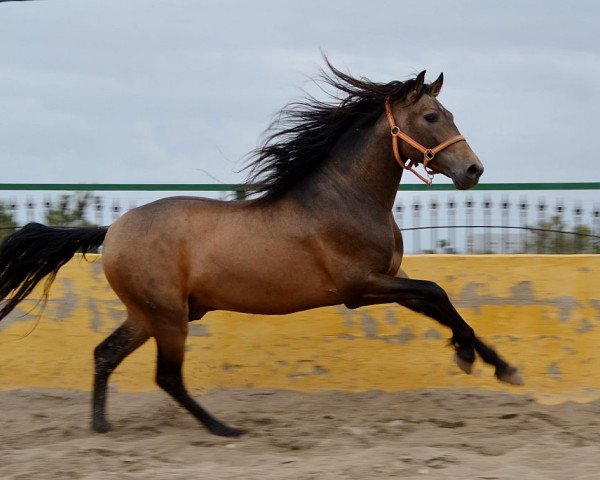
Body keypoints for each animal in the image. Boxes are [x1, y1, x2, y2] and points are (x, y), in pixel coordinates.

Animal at [0, 59, 520, 436]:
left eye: (449, 115)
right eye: (432, 117)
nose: (473, 170)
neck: (346, 197)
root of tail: (112, 231)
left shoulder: (390, 282)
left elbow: (440, 303)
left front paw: (500, 365)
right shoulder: (360, 287)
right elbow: (437, 292)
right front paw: (469, 357)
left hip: (150, 314)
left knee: (105, 354)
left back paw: (102, 426)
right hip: (167, 316)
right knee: (166, 376)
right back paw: (224, 428)